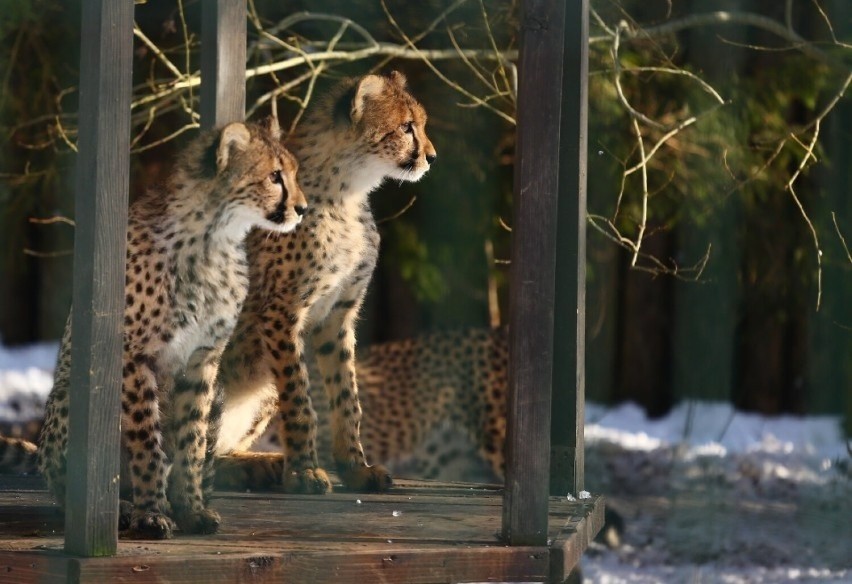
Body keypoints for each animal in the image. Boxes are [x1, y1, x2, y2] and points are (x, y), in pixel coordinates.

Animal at [38, 117, 310, 540]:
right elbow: (147, 443)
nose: (302, 208)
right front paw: (151, 513)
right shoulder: (135, 356)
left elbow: (191, 441)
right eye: (274, 177)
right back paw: (121, 508)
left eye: (294, 174)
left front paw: (191, 508)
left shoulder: (203, 359)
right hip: (72, 394)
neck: (214, 238)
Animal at [213, 70, 440, 496]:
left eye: (420, 124)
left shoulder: (338, 315)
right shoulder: (281, 313)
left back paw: (260, 465)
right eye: (406, 127)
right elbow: (300, 397)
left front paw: (355, 468)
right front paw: (304, 471)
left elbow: (347, 397)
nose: (432, 157)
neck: (347, 193)